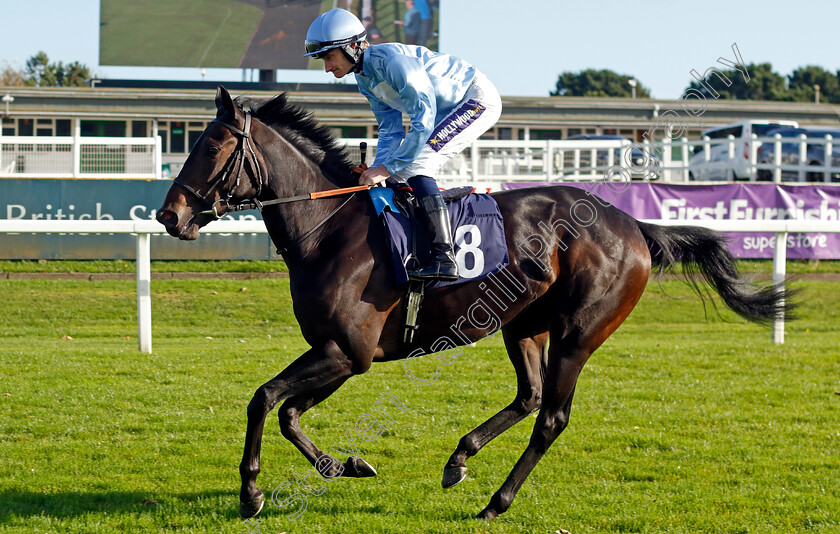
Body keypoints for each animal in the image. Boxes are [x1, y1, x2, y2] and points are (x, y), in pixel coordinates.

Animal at [158, 87, 796, 524]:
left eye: (212, 145)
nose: (169, 215)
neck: (329, 229)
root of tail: (632, 224)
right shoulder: (338, 352)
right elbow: (288, 412)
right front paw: (348, 466)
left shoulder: (346, 352)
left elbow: (264, 400)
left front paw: (251, 492)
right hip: (524, 324)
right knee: (530, 396)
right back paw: (459, 459)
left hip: (579, 333)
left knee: (551, 417)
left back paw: (497, 500)